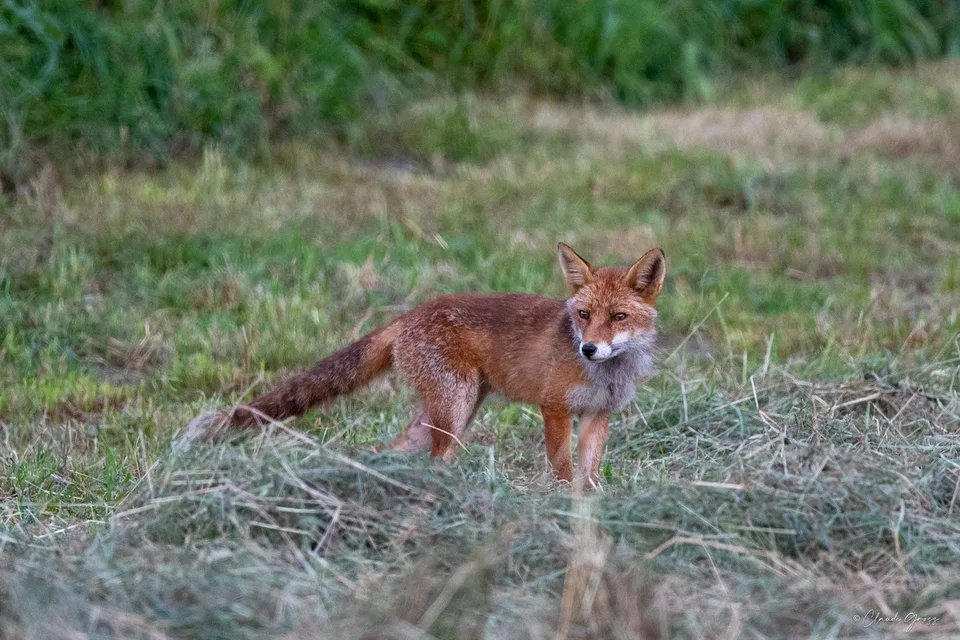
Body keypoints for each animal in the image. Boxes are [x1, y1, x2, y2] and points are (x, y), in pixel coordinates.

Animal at [216, 243, 665, 488]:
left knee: (390, 450)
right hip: (454, 409)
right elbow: (561, 467)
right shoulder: (553, 407)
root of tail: (409, 314)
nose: (589, 348)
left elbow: (588, 475)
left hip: (448, 414)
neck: (605, 375)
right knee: (437, 460)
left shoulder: (598, 415)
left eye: (619, 317)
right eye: (584, 315)